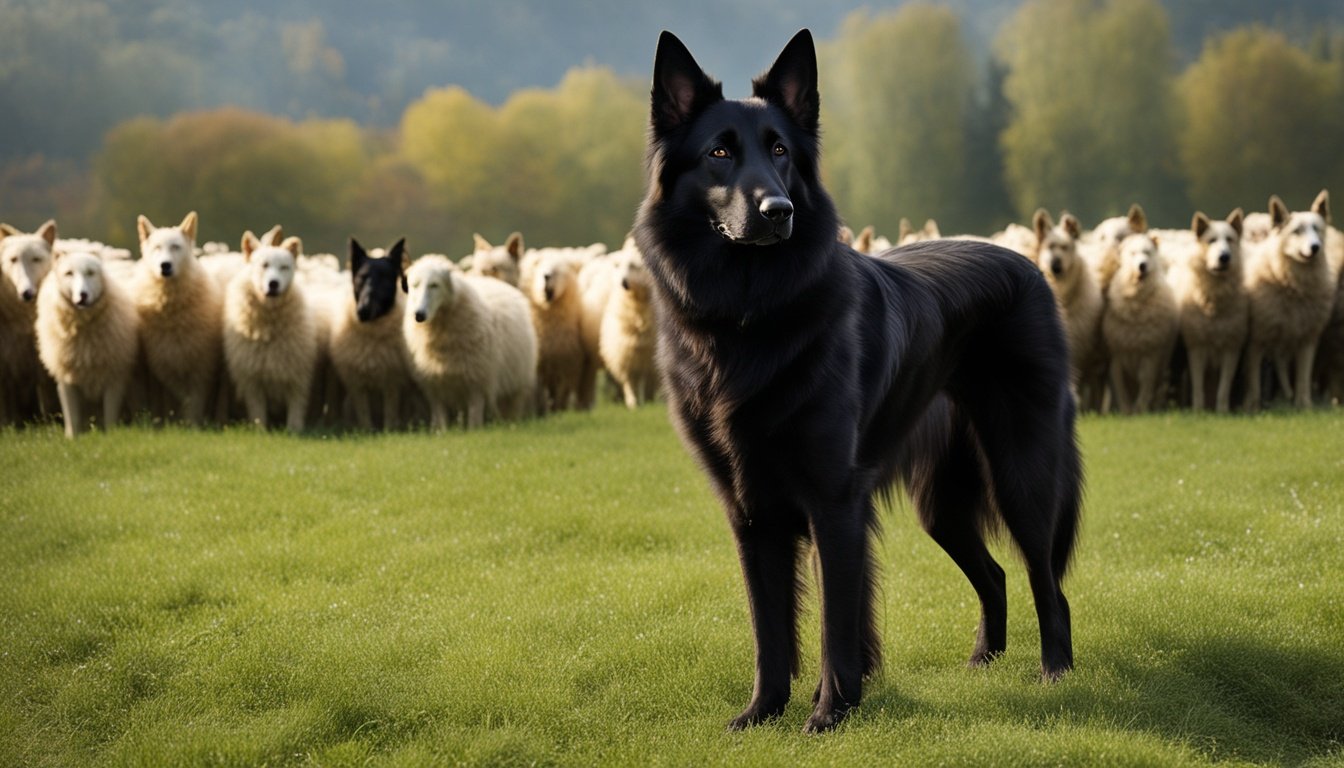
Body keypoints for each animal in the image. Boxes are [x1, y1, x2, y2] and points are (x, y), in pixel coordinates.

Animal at [634, 30, 1085, 737]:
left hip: (1023, 474)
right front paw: (763, 714)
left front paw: (830, 714)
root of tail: (1031, 267)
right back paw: (983, 661)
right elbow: (770, 630)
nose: (779, 210)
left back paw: (1055, 675)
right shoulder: (749, 511)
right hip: (941, 505)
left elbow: (836, 623)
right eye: (718, 153)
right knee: (995, 575)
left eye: (781, 152)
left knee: (1048, 581)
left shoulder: (834, 503)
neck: (751, 317)